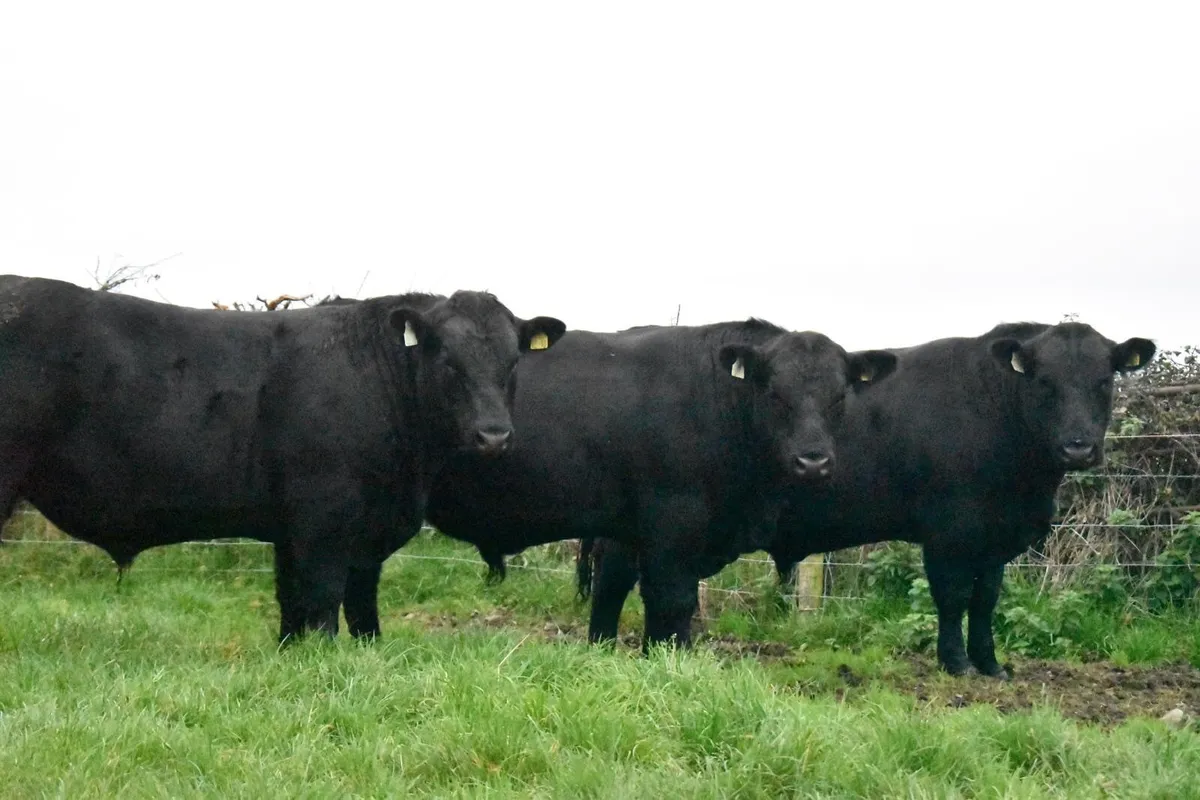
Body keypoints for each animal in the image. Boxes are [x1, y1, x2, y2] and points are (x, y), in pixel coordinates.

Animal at [0, 275, 565, 642]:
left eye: (513, 361)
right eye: (446, 359)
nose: (493, 435)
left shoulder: (324, 532)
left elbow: (332, 609)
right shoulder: (323, 523)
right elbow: (320, 605)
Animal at [375, 320, 898, 650]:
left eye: (839, 395)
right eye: (774, 392)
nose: (813, 461)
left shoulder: (626, 529)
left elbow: (611, 590)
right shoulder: (673, 526)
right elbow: (672, 603)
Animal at [574, 322, 1156, 677]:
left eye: (1104, 381)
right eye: (1044, 381)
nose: (1078, 446)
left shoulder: (994, 539)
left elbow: (986, 599)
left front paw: (991, 665)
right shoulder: (950, 531)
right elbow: (953, 597)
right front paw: (956, 663)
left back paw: (601, 645)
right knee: (616, 576)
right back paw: (601, 646)